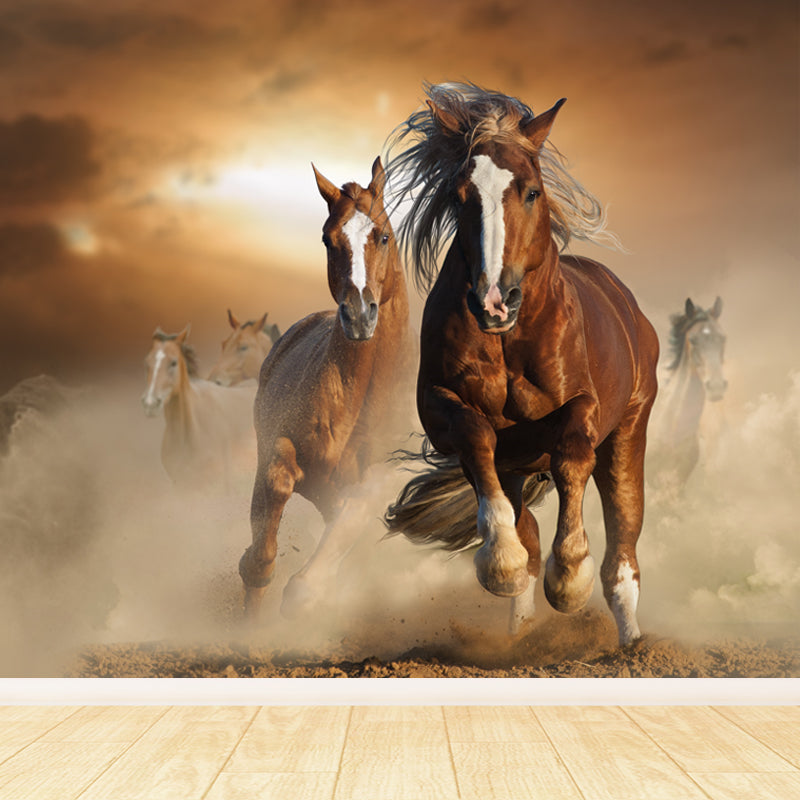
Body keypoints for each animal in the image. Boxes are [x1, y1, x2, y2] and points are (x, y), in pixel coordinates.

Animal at [238, 157, 414, 620]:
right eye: (327, 239)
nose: (359, 314)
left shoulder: (372, 489)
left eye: (383, 235)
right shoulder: (280, 449)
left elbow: (306, 587)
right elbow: (277, 486)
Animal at [383, 83, 659, 646]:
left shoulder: (584, 408)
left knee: (623, 544)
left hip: (629, 430)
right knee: (526, 524)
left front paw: (569, 578)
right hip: (517, 465)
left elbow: (573, 454)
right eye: (459, 196)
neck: (510, 341)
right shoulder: (442, 409)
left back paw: (630, 644)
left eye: (531, 191)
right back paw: (522, 629)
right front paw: (502, 564)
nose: (494, 300)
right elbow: (476, 439)